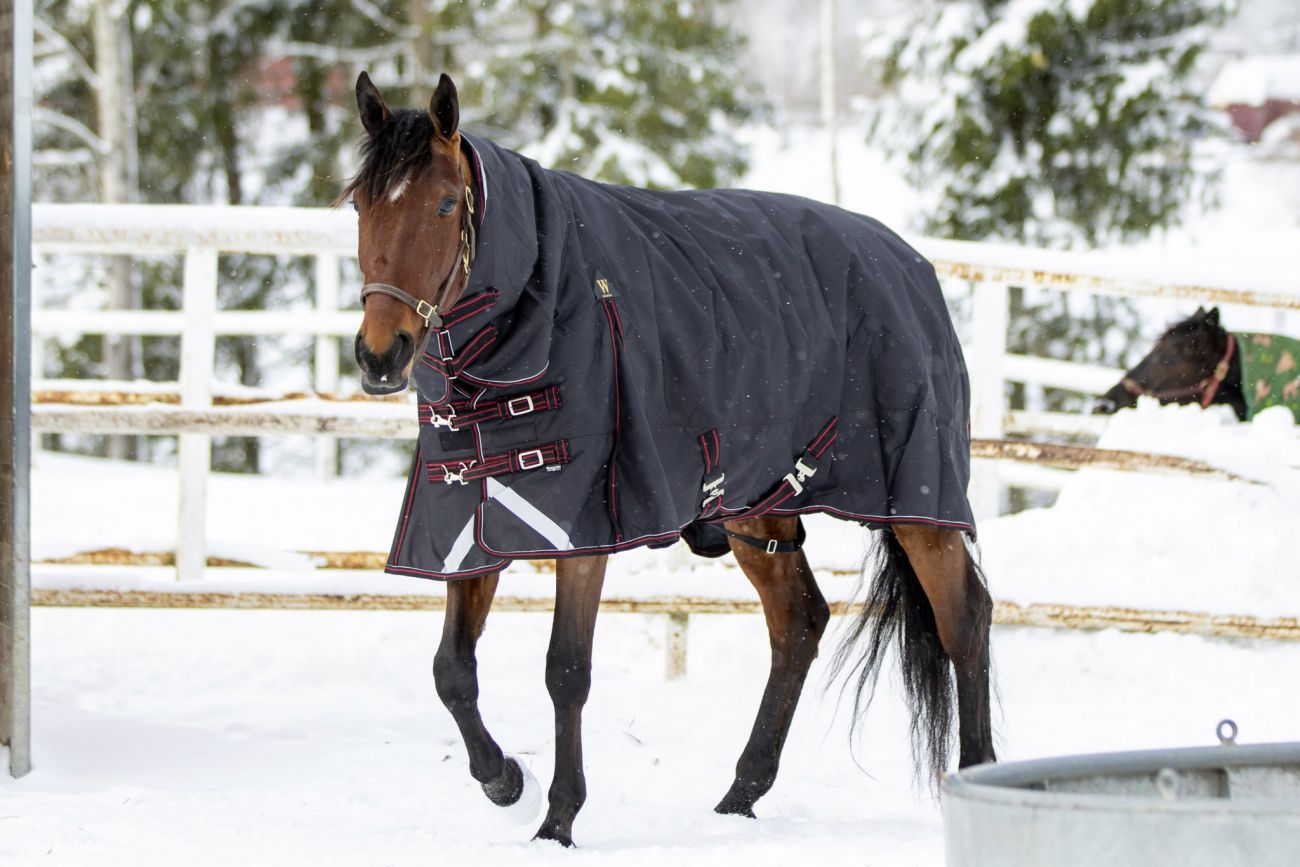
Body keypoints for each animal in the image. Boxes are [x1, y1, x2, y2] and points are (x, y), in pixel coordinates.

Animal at [341, 71, 996, 847]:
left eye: (444, 203)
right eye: (359, 203)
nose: (381, 355)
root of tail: (914, 267)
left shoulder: (583, 529)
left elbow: (566, 670)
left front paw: (558, 818)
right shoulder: (468, 521)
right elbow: (452, 671)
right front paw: (504, 780)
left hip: (917, 503)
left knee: (964, 620)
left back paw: (977, 777)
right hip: (758, 509)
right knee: (799, 623)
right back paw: (740, 795)